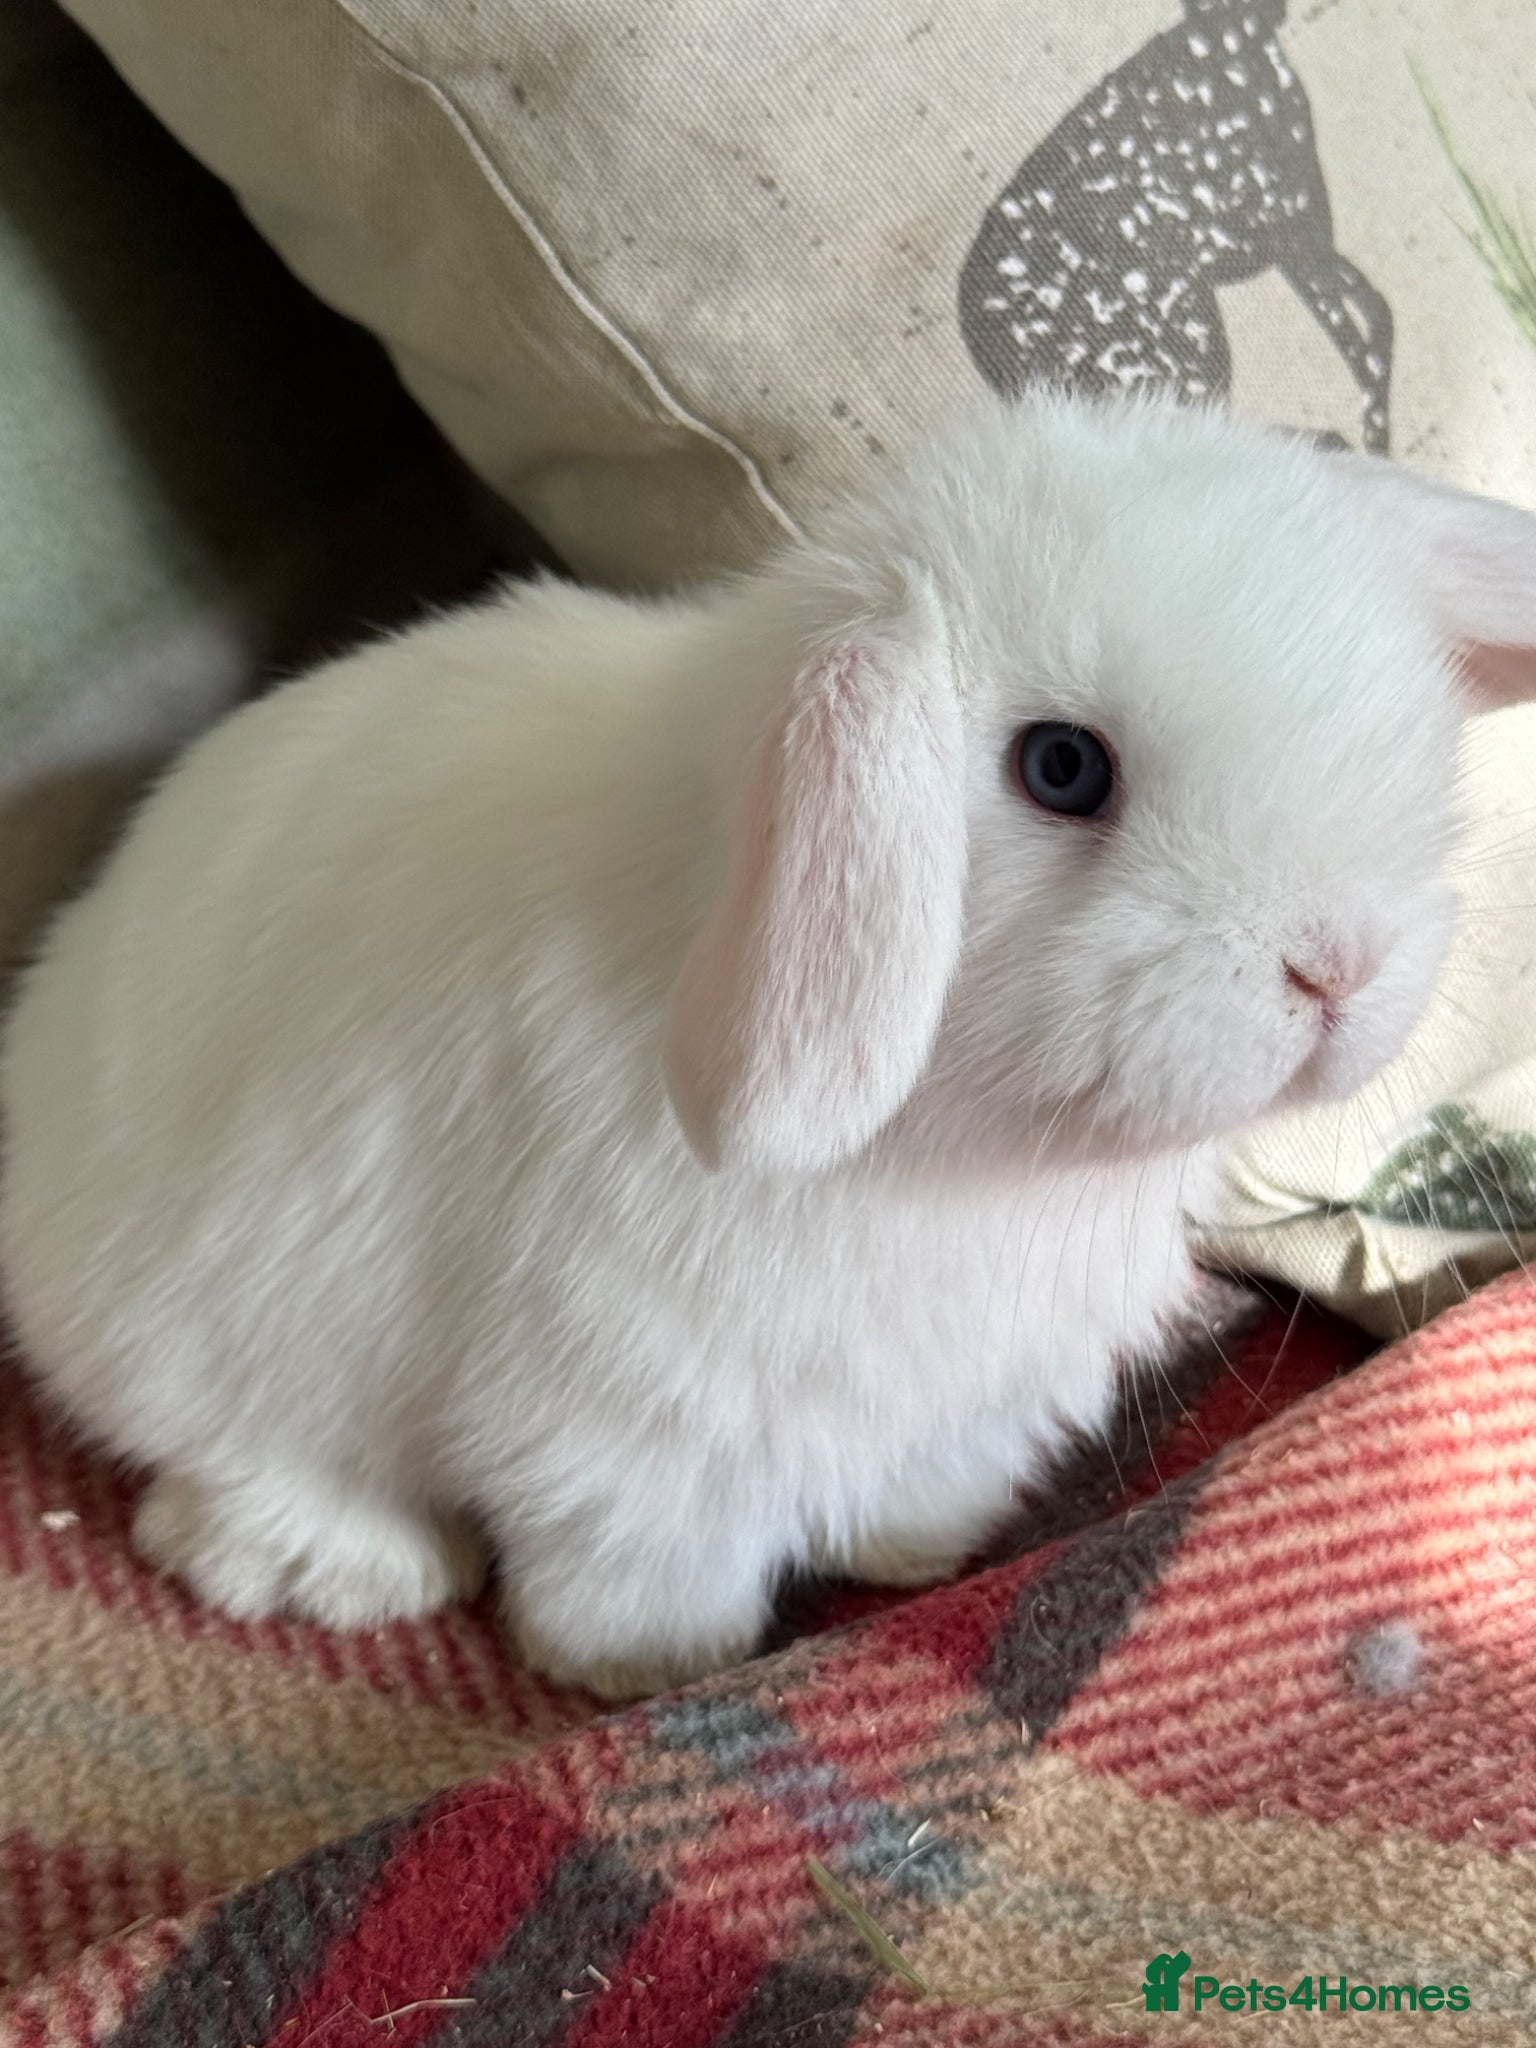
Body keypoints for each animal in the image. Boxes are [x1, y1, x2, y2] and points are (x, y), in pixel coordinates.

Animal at [4, 391, 1535, 1702]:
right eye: (1062, 769)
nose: (1336, 963)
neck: (977, 1147)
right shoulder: (627, 1425)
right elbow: (637, 1558)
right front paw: (641, 1669)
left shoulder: (967, 1396)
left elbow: (921, 1480)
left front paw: (918, 1554)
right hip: (203, 1332)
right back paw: (350, 1566)